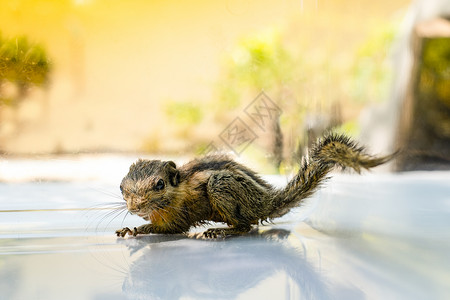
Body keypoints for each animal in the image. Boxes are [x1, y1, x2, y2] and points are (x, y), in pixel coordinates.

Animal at [115, 135, 394, 238]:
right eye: (121, 187)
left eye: (159, 184)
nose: (135, 207)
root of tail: (266, 201)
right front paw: (129, 228)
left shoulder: (178, 218)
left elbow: (171, 229)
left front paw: (137, 228)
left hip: (220, 186)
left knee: (246, 226)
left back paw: (221, 232)